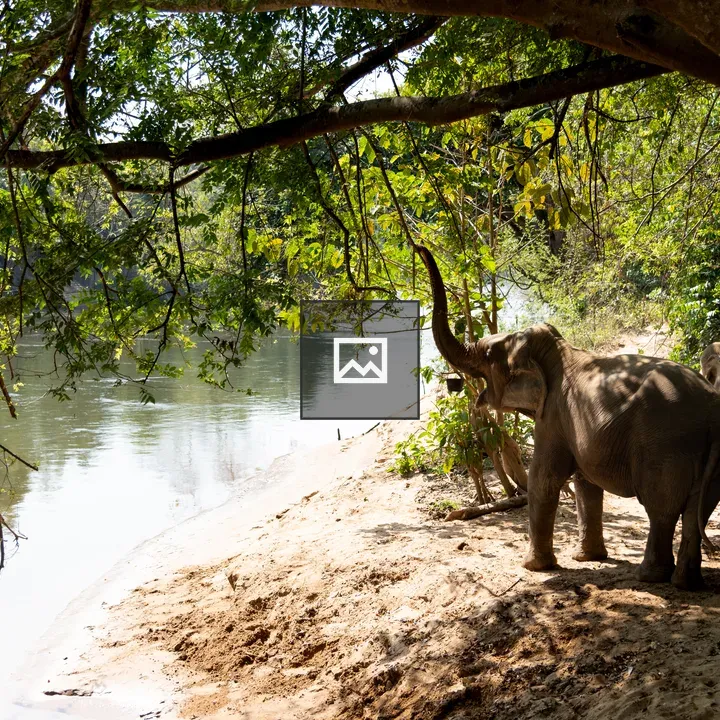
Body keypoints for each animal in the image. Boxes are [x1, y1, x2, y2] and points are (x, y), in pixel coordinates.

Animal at [417, 245, 720, 590]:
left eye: (490, 355)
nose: (418, 248)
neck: (557, 351)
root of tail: (711, 412)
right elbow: (586, 482)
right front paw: (587, 558)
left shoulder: (554, 415)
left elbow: (544, 478)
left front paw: (534, 567)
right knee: (698, 511)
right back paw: (685, 583)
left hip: (664, 447)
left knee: (662, 510)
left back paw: (650, 577)